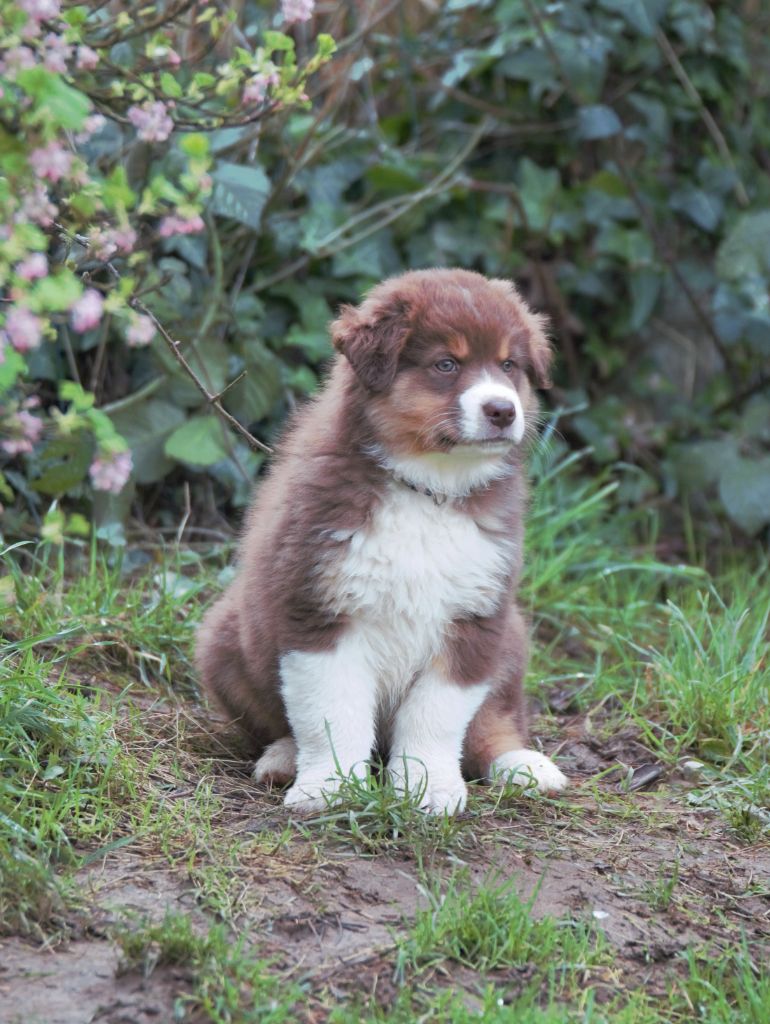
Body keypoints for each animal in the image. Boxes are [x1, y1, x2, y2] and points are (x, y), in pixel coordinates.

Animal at [195, 268, 569, 811]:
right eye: (446, 364)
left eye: (508, 365)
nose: (503, 410)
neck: (428, 489)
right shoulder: (318, 610)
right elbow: (332, 712)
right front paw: (327, 787)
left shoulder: (475, 617)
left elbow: (436, 717)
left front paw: (428, 788)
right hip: (224, 638)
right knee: (277, 721)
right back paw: (284, 758)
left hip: (512, 641)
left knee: (492, 723)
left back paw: (523, 764)